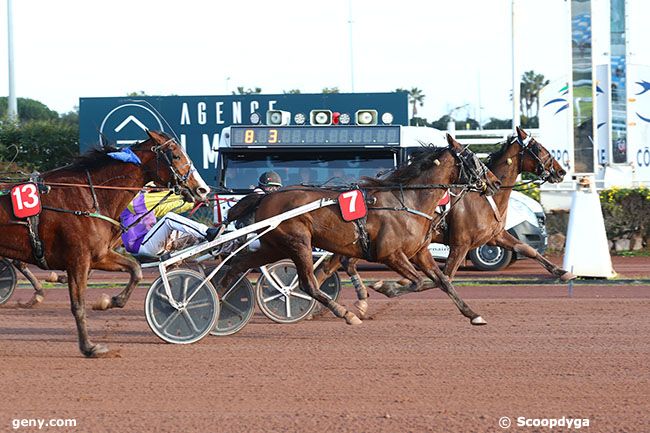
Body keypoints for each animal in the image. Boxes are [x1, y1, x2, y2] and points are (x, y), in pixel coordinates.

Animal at [0, 129, 208, 358]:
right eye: (176, 155)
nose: (202, 189)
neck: (89, 196)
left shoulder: (98, 255)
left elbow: (136, 270)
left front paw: (111, 302)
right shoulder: (79, 259)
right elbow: (78, 305)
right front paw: (90, 347)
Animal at [220, 133, 498, 326]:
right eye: (474, 159)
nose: (495, 182)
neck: (408, 202)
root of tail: (265, 197)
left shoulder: (420, 252)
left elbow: (444, 281)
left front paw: (473, 314)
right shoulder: (390, 254)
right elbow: (418, 282)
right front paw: (384, 288)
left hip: (274, 246)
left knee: (238, 265)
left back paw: (218, 303)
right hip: (298, 242)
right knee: (308, 284)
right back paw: (345, 314)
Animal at [314, 126, 572, 316]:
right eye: (538, 147)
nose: (561, 171)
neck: (484, 197)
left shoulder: (495, 236)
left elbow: (528, 249)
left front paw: (562, 272)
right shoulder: (461, 243)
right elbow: (445, 276)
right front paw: (388, 286)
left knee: (337, 264)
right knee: (336, 265)